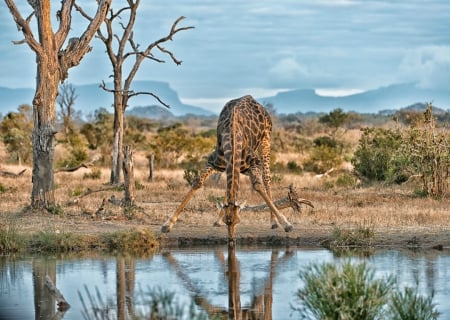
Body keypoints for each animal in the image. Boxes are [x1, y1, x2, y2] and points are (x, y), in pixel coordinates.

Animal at [160, 95, 294, 242]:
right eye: (227, 222)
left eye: (238, 221)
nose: (231, 241)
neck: (233, 138)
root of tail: (252, 98)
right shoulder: (214, 162)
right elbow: (198, 182)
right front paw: (167, 224)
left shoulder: (254, 163)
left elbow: (258, 185)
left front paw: (286, 224)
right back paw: (217, 220)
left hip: (266, 140)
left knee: (266, 178)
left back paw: (273, 221)